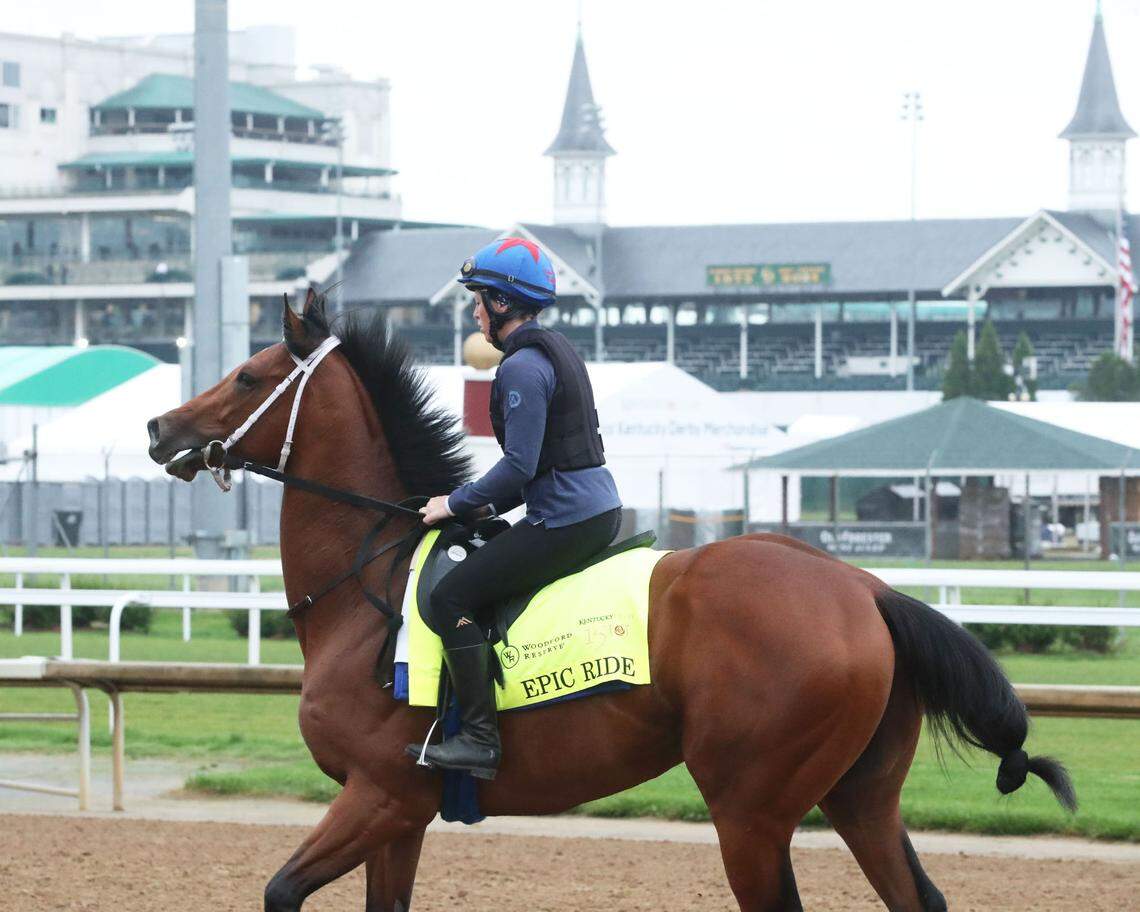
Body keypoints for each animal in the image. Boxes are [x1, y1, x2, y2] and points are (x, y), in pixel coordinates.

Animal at [147, 288, 1075, 912]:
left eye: (246, 375)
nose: (160, 429)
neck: (365, 584)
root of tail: (865, 589)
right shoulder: (400, 818)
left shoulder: (377, 794)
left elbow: (279, 890)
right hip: (860, 798)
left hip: (751, 811)